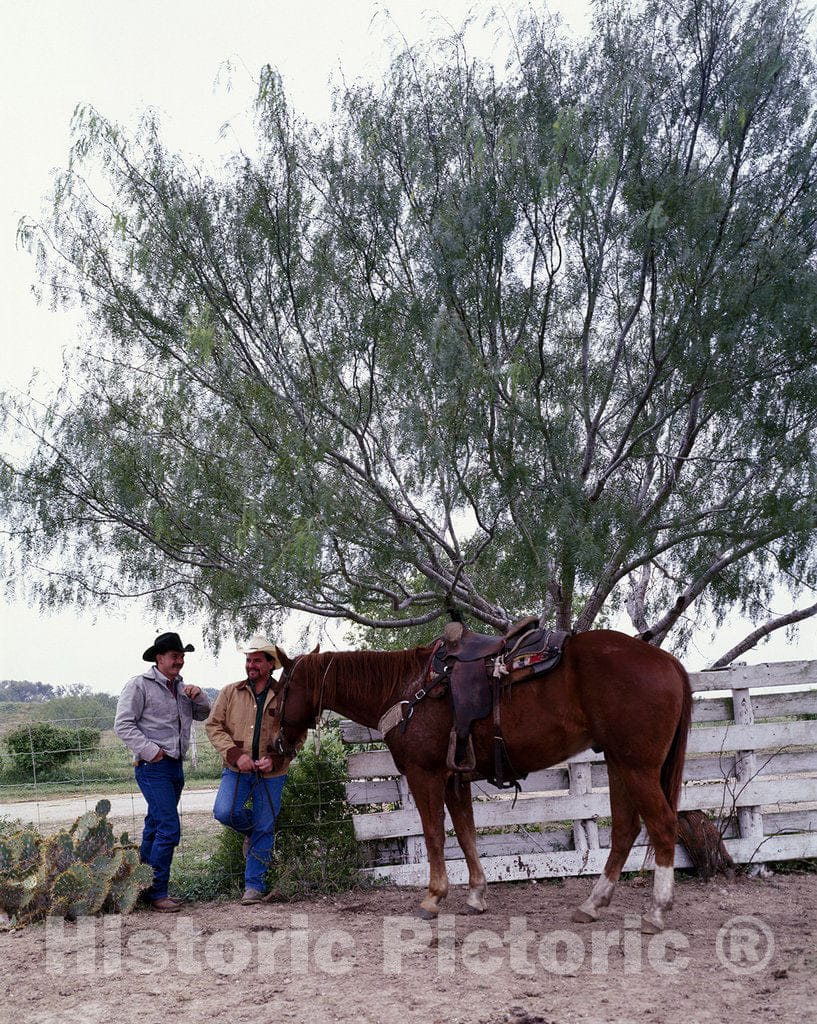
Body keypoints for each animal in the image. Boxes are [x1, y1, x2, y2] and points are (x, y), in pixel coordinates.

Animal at [274, 626, 692, 933]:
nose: (277, 744)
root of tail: (668, 662)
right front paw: (476, 896)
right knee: (624, 829)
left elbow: (434, 834)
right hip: (619, 764)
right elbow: (466, 834)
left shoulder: (426, 775)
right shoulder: (455, 780)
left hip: (637, 767)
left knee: (661, 824)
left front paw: (433, 898)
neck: (408, 689)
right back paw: (592, 904)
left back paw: (656, 912)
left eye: (279, 694)